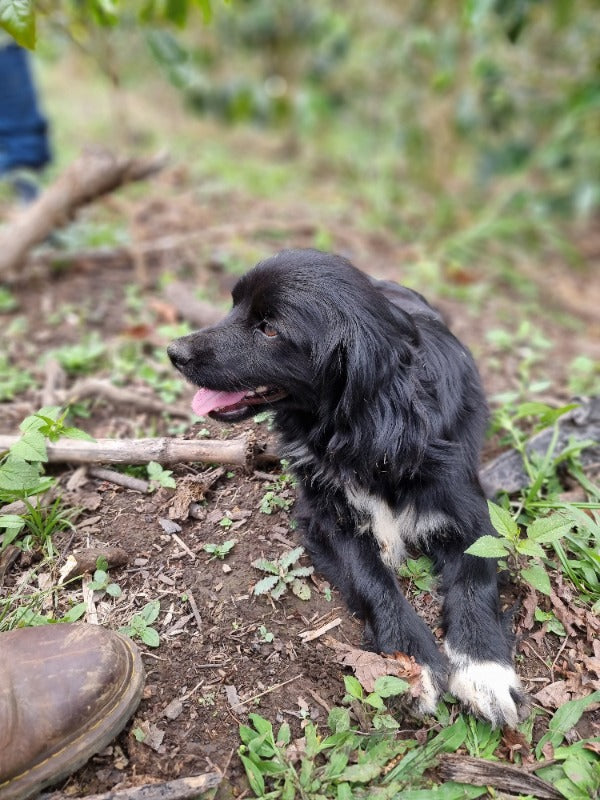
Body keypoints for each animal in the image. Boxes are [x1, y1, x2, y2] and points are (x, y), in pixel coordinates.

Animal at [169, 248, 524, 724]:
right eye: (234, 305)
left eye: (269, 328)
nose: (174, 351)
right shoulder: (323, 516)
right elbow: (371, 577)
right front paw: (411, 658)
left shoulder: (471, 513)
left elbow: (475, 581)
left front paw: (485, 671)